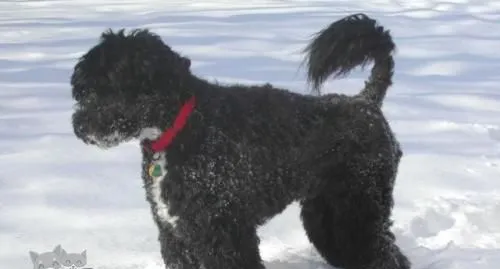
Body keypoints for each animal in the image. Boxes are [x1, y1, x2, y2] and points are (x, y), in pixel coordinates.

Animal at [70, 13, 410, 268]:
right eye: (84, 89)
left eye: (111, 83)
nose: (79, 126)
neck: (183, 127)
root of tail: (366, 102)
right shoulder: (175, 233)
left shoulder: (224, 233)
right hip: (327, 212)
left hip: (359, 209)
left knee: (387, 257)